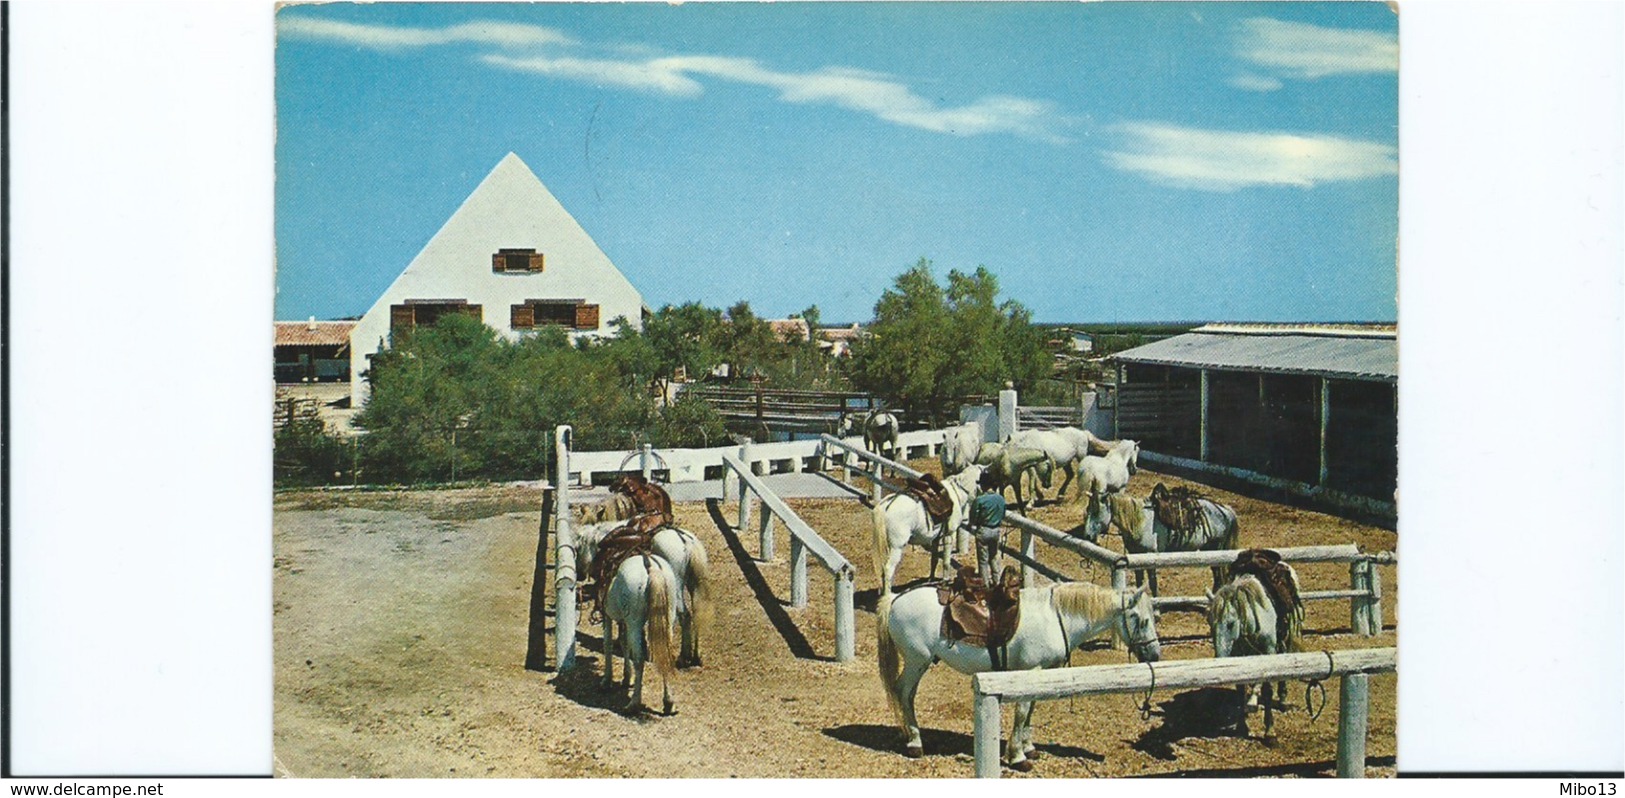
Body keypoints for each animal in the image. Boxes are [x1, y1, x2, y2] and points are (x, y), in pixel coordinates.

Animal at [578, 520, 718, 672]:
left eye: (578, 548)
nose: (579, 575)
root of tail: (686, 541)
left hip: (677, 588)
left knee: (685, 616)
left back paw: (683, 657)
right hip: (693, 584)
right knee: (697, 613)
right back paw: (695, 657)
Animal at [871, 464, 981, 598]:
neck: (957, 494)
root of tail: (886, 506)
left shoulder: (935, 538)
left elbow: (934, 560)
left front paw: (931, 579)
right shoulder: (949, 535)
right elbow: (946, 562)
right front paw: (945, 580)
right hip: (896, 547)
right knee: (888, 569)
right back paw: (889, 594)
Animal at [884, 585, 1163, 770]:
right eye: (1140, 619)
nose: (1155, 654)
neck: (1055, 617)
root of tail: (896, 598)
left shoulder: (1038, 676)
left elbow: (1030, 712)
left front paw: (1029, 749)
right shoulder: (1030, 671)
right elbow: (1022, 712)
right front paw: (1018, 757)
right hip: (916, 662)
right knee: (904, 693)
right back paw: (915, 743)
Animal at [1209, 572, 1306, 741]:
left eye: (1230, 623)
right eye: (1210, 623)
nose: (1220, 658)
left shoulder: (1269, 651)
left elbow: (1267, 690)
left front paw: (1270, 731)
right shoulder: (1239, 656)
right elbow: (1241, 689)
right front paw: (1242, 727)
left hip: (1284, 640)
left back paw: (1281, 699)